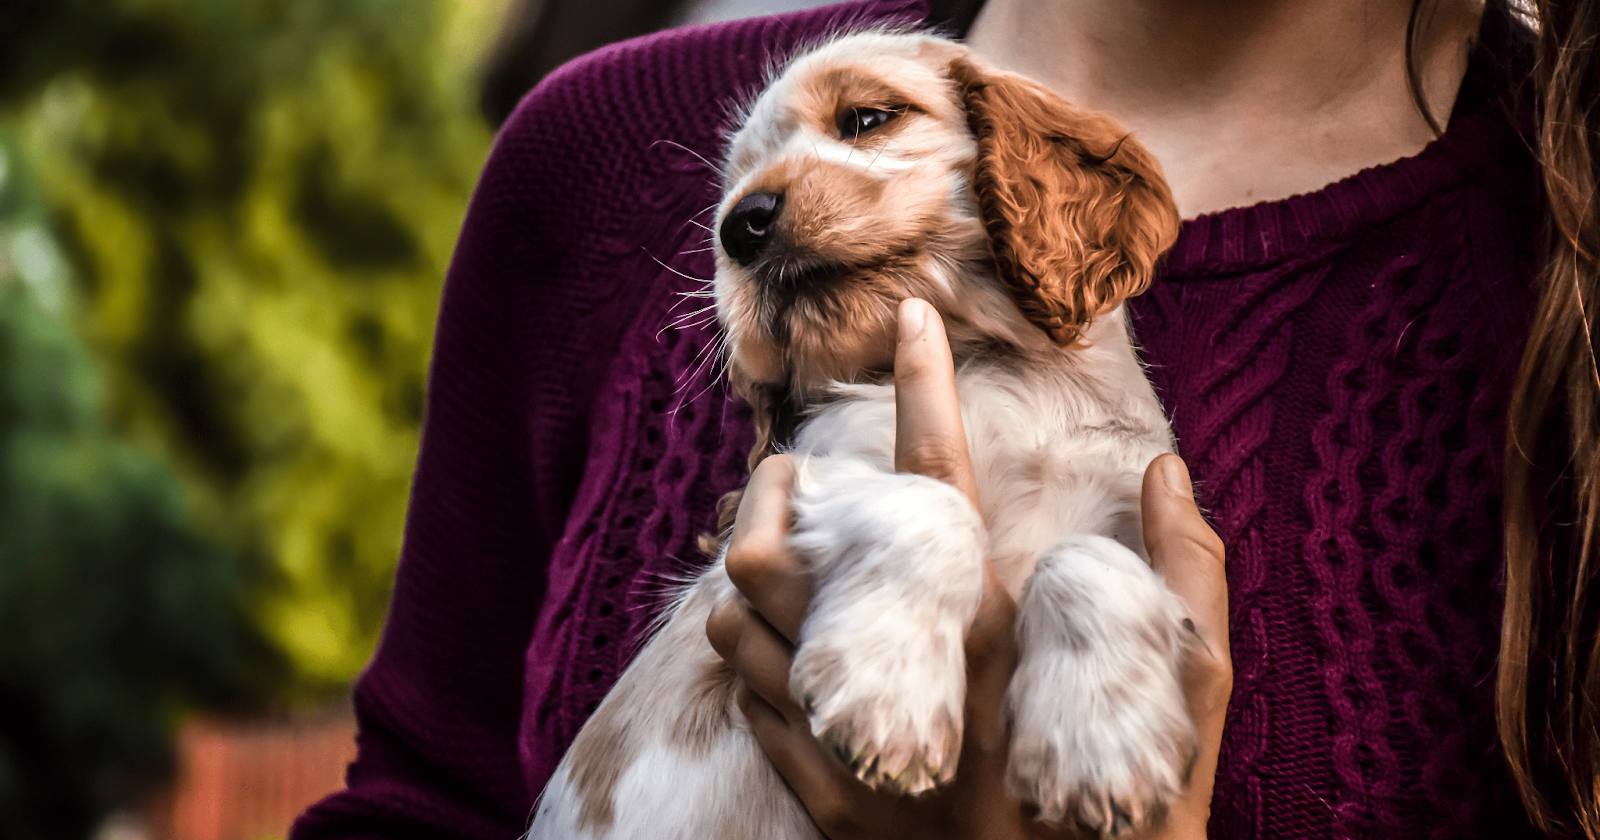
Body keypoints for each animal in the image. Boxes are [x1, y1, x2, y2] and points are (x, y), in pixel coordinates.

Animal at [537, 27, 1203, 838]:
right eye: (735, 188)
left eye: (865, 119)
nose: (740, 225)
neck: (1006, 368)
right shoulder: (800, 475)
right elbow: (929, 505)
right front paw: (890, 694)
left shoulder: (1135, 506)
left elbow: (1088, 558)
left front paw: (1104, 744)